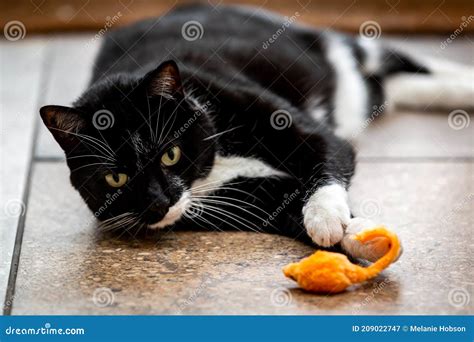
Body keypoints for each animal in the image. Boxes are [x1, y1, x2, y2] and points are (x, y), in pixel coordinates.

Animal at [39, 2, 470, 260]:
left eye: (170, 153)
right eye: (115, 178)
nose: (159, 203)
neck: (215, 162)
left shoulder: (279, 117)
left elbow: (326, 154)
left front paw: (327, 216)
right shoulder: (240, 197)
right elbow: (282, 203)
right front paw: (356, 234)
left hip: (323, 45)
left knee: (396, 60)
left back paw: (463, 84)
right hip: (360, 93)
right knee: (388, 88)